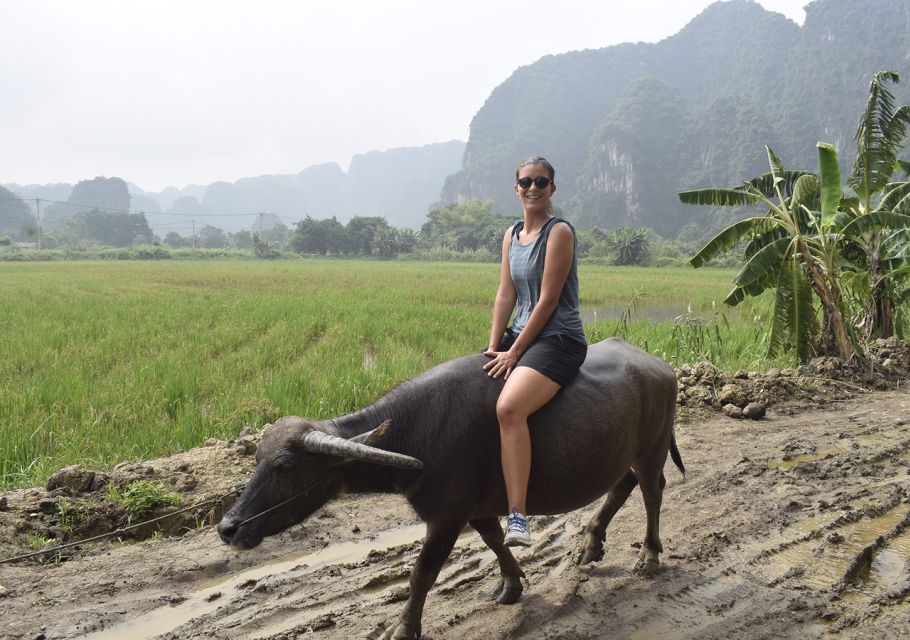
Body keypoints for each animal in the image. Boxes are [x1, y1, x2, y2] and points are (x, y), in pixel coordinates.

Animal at [219, 338, 684, 636]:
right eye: (257, 460)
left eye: (285, 465)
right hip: (623, 453)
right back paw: (591, 545)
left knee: (653, 491)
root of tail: (660, 366)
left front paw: (403, 628)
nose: (228, 528)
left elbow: (422, 574)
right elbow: (495, 541)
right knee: (622, 485)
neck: (417, 431)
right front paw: (512, 585)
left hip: (652, 449)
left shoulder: (445, 517)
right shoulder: (475, 509)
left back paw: (648, 557)